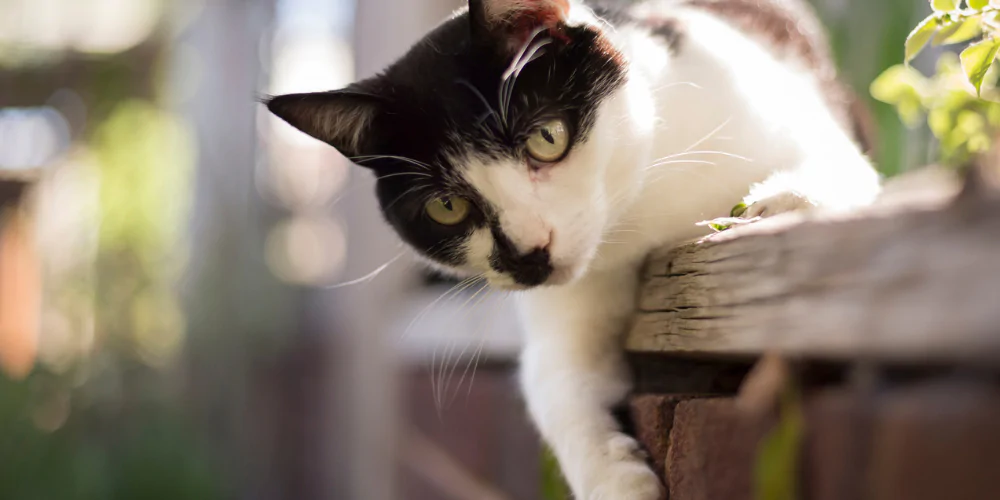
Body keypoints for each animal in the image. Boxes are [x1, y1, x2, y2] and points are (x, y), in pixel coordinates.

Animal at [264, 1, 876, 498]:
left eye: (547, 138)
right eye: (446, 207)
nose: (527, 254)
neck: (639, 206)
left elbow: (841, 167)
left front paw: (783, 199)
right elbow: (556, 381)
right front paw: (618, 482)